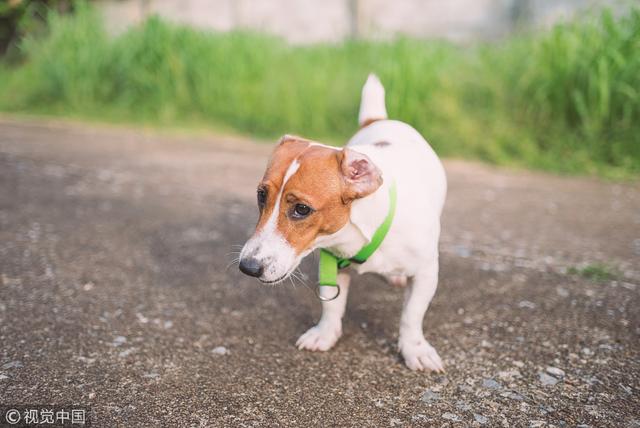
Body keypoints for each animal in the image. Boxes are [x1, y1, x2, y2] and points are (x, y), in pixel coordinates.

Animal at [239, 74, 444, 372]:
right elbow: (331, 304)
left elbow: (412, 315)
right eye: (261, 195)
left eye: (302, 209)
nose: (248, 267)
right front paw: (325, 333)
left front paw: (415, 349)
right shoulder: (331, 262)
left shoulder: (426, 274)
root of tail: (380, 120)